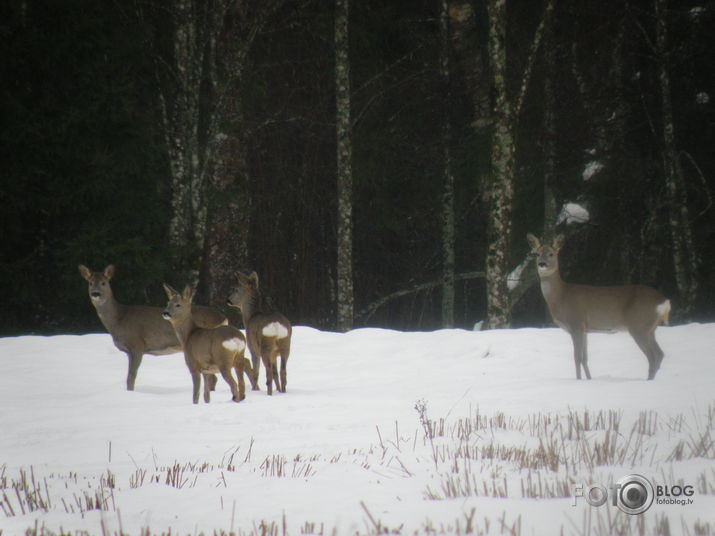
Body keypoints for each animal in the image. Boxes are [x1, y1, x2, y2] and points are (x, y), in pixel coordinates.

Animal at [77, 264, 227, 390]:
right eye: (90, 283)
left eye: (104, 282)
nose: (95, 294)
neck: (118, 319)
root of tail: (223, 317)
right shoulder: (129, 351)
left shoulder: (137, 344)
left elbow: (131, 377)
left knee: (212, 377)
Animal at [524, 234, 672, 382]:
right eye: (537, 254)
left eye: (551, 254)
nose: (542, 264)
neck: (561, 296)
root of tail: (665, 301)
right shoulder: (585, 329)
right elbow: (585, 358)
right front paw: (589, 380)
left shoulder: (576, 323)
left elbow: (577, 358)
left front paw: (578, 380)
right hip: (651, 327)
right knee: (660, 353)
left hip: (639, 324)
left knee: (653, 355)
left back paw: (648, 381)